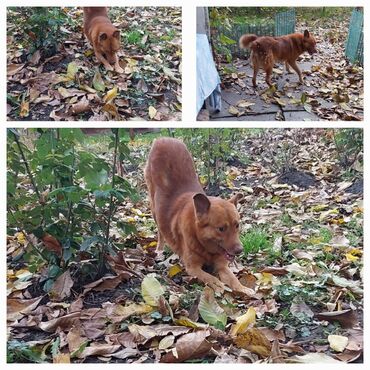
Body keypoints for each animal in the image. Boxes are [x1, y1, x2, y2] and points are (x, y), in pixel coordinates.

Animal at [145, 137, 254, 296]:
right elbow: (208, 276)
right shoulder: (192, 268)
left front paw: (243, 288)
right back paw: (159, 248)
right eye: (221, 229)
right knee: (160, 230)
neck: (205, 247)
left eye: (237, 225)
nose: (240, 250)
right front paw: (217, 284)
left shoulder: (222, 266)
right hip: (153, 206)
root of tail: (164, 139)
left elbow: (233, 279)